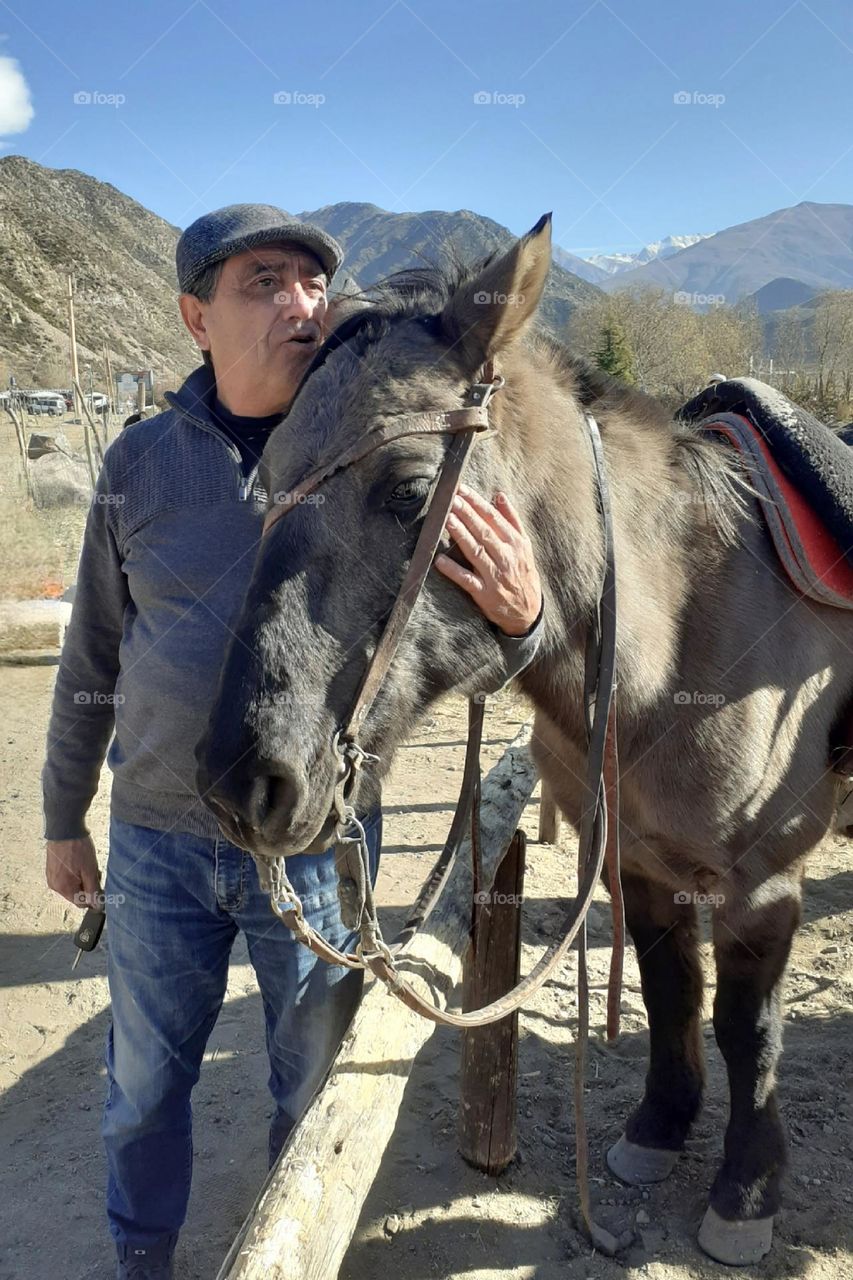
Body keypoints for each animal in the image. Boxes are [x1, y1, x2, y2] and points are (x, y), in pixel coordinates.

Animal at [195, 215, 845, 1264]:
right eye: (269, 484)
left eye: (411, 493)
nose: (243, 782)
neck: (673, 640)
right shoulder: (634, 862)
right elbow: (672, 989)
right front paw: (659, 1127)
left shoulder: (760, 886)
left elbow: (749, 1031)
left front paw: (745, 1193)